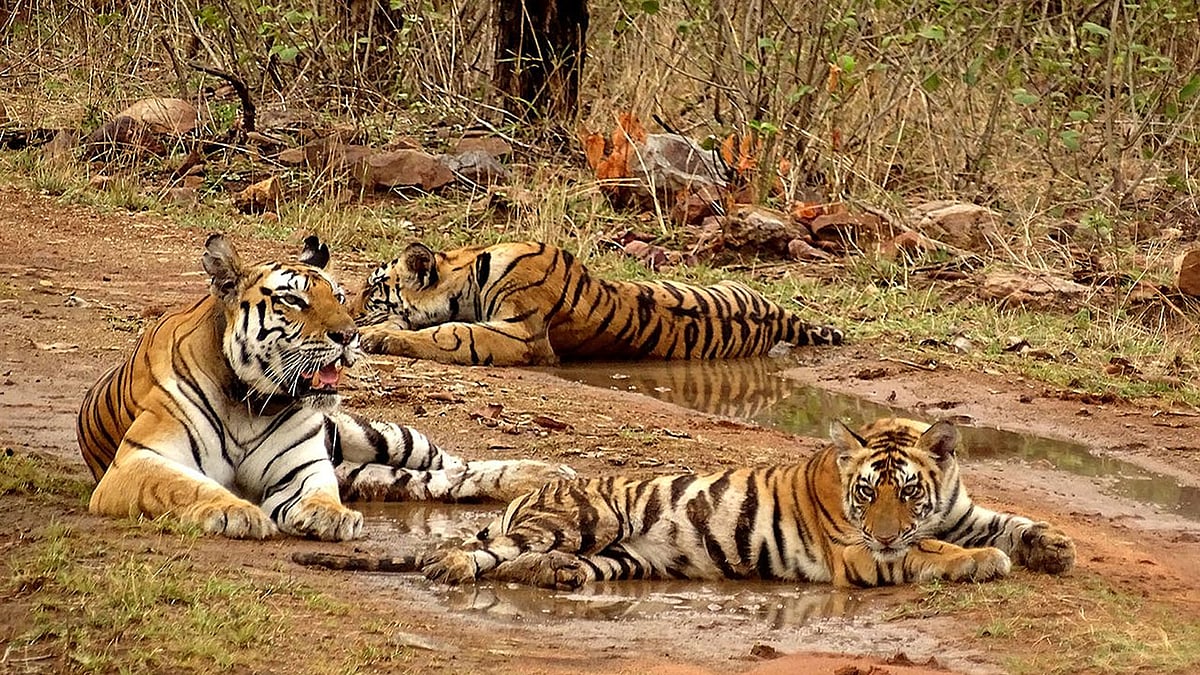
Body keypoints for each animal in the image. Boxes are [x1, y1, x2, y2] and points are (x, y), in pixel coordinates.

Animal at [77, 234, 574, 541]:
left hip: (381, 436)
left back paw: (548, 475)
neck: (249, 402)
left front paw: (327, 516)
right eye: (293, 300)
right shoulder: (138, 461)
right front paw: (236, 511)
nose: (350, 335)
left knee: (455, 465)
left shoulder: (304, 466)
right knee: (434, 481)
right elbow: (187, 487)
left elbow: (316, 491)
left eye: (336, 295)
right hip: (368, 469)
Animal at [354, 241, 844, 366]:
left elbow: (452, 333)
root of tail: (779, 315)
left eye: (374, 288)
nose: (349, 308)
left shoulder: (525, 335)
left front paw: (376, 336)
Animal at [408, 417, 1075, 588]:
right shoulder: (859, 554)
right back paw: (451, 565)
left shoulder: (963, 512)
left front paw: (1054, 545)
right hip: (584, 519)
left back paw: (557, 574)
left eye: (909, 491)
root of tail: (533, 490)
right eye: (867, 494)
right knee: (484, 549)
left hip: (623, 558)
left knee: (525, 562)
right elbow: (927, 550)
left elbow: (1009, 522)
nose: (886, 532)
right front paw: (982, 562)